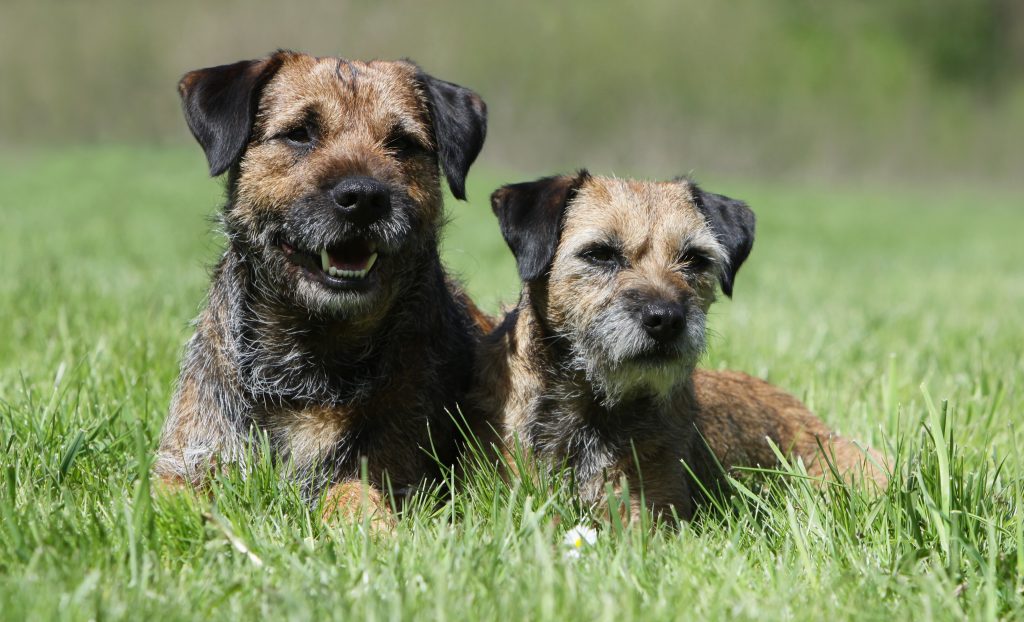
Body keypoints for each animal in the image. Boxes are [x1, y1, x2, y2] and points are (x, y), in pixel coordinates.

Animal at [153, 52, 497, 520]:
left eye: (402, 143)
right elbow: (165, 497)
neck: (309, 361)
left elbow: (351, 492)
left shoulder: (401, 476)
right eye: (300, 134)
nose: (364, 197)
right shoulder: (185, 460)